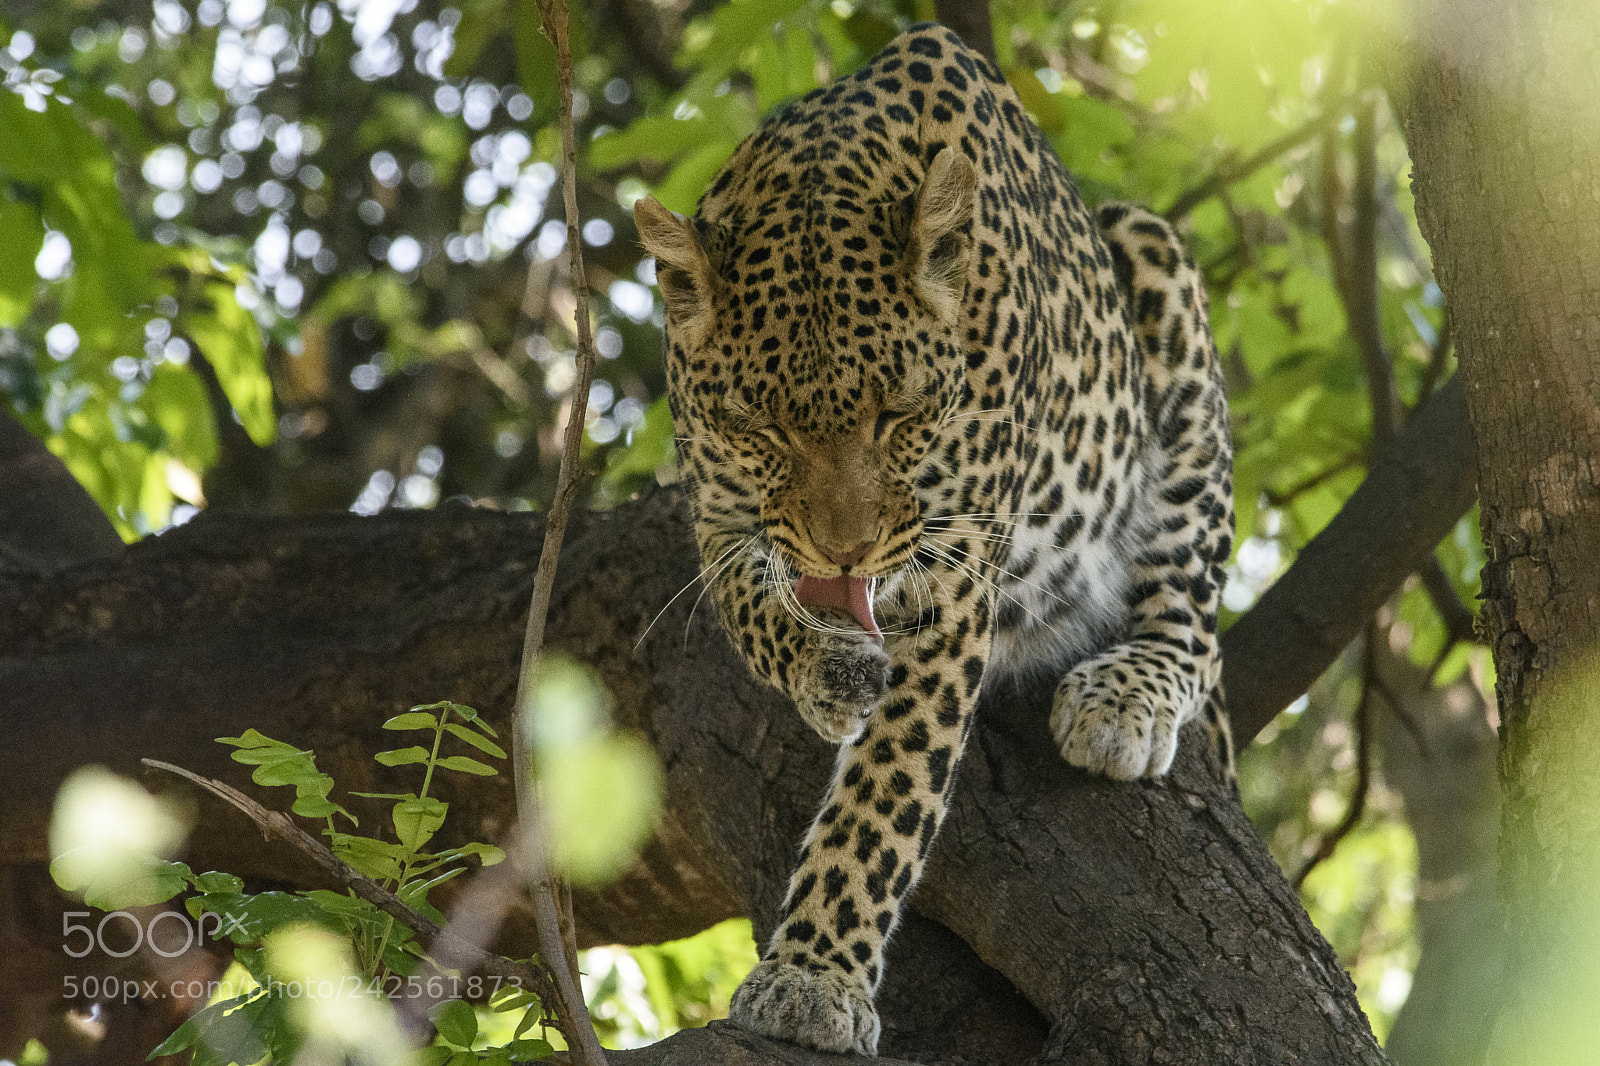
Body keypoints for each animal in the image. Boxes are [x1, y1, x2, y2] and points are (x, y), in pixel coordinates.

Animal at [633, 23, 1234, 1056]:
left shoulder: (952, 581)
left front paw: (814, 978)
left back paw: (1126, 695)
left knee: (1195, 607)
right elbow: (756, 609)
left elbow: (885, 797)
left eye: (901, 412)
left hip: (1154, 270)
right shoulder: (718, 514)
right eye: (760, 422)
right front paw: (830, 669)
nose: (844, 553)